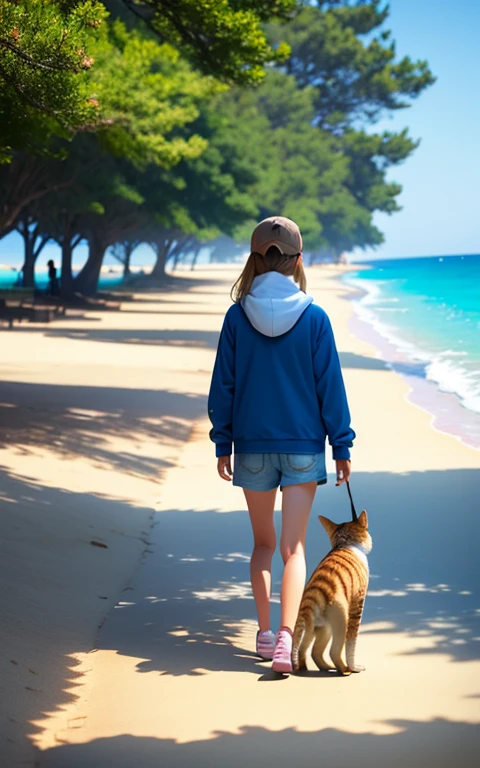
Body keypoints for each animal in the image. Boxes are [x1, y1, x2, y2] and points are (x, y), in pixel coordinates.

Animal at [292, 512, 372, 676]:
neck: (345, 543)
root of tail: (310, 599)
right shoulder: (357, 605)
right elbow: (351, 643)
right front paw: (355, 667)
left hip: (318, 628)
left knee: (309, 650)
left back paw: (319, 667)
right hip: (340, 620)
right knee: (334, 651)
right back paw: (345, 670)